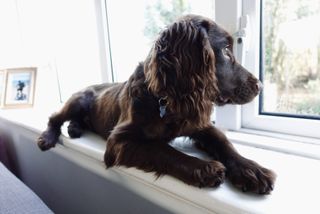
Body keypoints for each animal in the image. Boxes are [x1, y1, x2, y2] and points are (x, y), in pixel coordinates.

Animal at [38, 13, 276, 194]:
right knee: (54, 117)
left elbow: (223, 142)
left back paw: (75, 128)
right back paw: (48, 136)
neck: (164, 100)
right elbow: (162, 149)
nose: (260, 86)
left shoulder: (198, 123)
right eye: (226, 51)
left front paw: (251, 170)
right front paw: (204, 168)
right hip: (79, 99)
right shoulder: (118, 141)